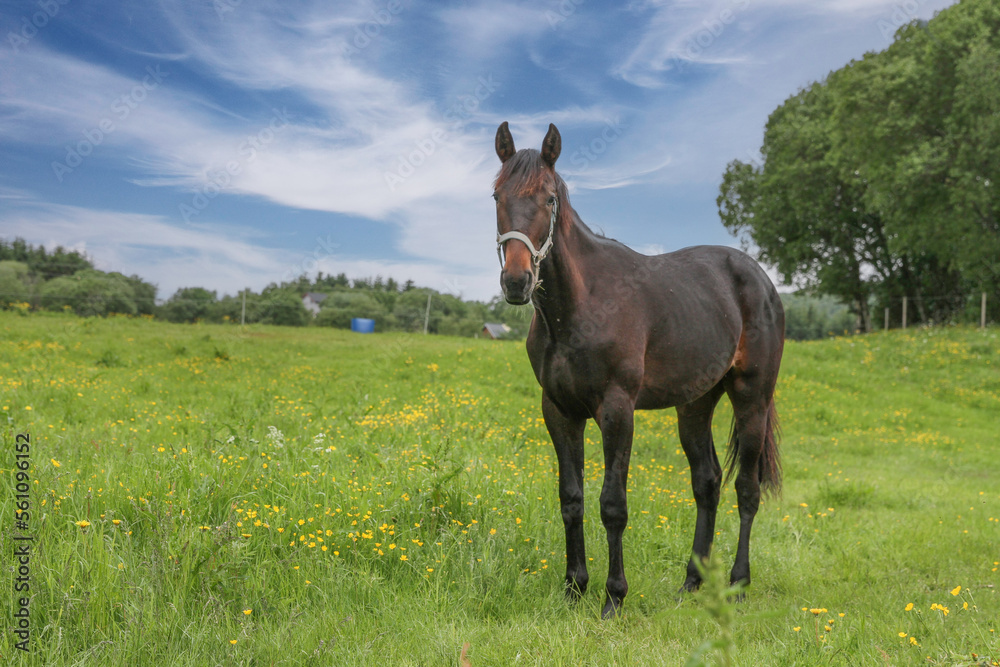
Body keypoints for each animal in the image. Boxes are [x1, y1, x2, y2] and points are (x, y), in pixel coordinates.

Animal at [492, 121, 784, 619]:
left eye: (549, 199)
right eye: (496, 195)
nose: (517, 281)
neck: (582, 306)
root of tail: (762, 281)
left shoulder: (617, 409)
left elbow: (613, 505)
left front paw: (613, 596)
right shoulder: (559, 411)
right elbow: (571, 499)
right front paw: (574, 587)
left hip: (752, 399)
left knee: (746, 489)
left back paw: (738, 584)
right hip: (695, 405)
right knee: (707, 483)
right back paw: (691, 582)